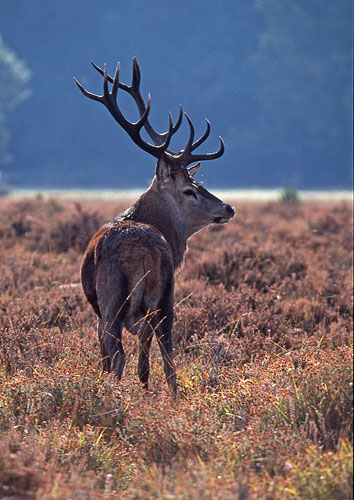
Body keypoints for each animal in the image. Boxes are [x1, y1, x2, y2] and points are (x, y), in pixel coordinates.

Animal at [74, 57, 235, 394]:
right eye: (191, 189)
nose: (229, 207)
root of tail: (148, 250)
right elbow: (149, 360)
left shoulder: (99, 311)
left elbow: (107, 357)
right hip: (166, 298)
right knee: (168, 358)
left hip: (113, 297)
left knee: (118, 355)